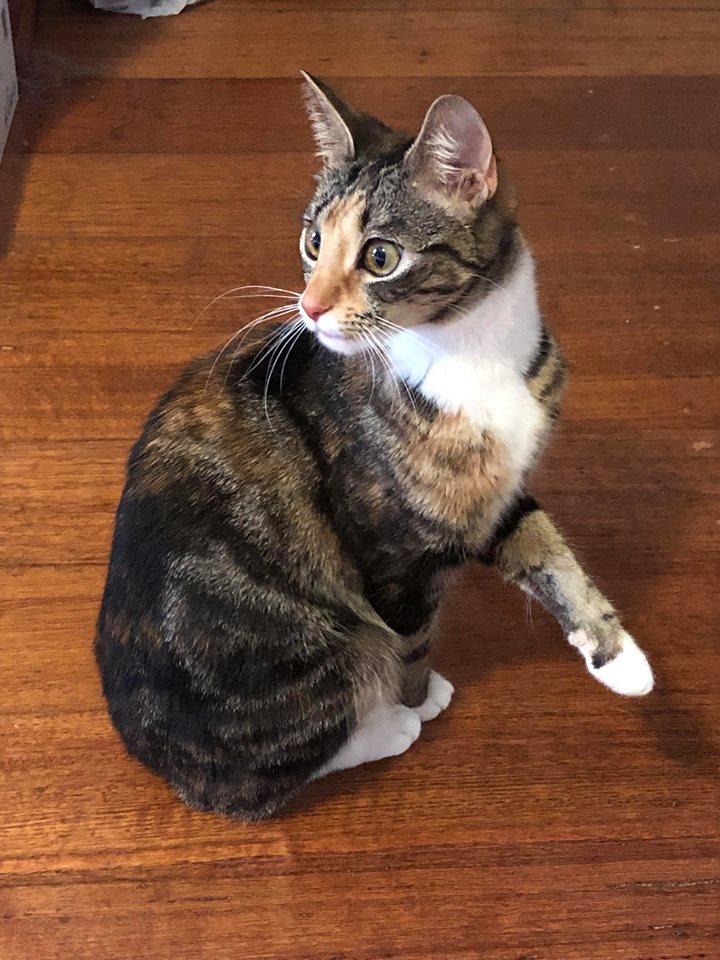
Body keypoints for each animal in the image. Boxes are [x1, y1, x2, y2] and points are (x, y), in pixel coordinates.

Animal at [95, 74, 654, 820]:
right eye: (313, 241)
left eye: (380, 256)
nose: (309, 307)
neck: (474, 351)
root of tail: (162, 765)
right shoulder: (393, 549)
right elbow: (411, 641)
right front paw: (415, 700)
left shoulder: (489, 493)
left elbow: (549, 552)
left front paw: (620, 659)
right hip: (312, 651)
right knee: (267, 779)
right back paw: (385, 727)